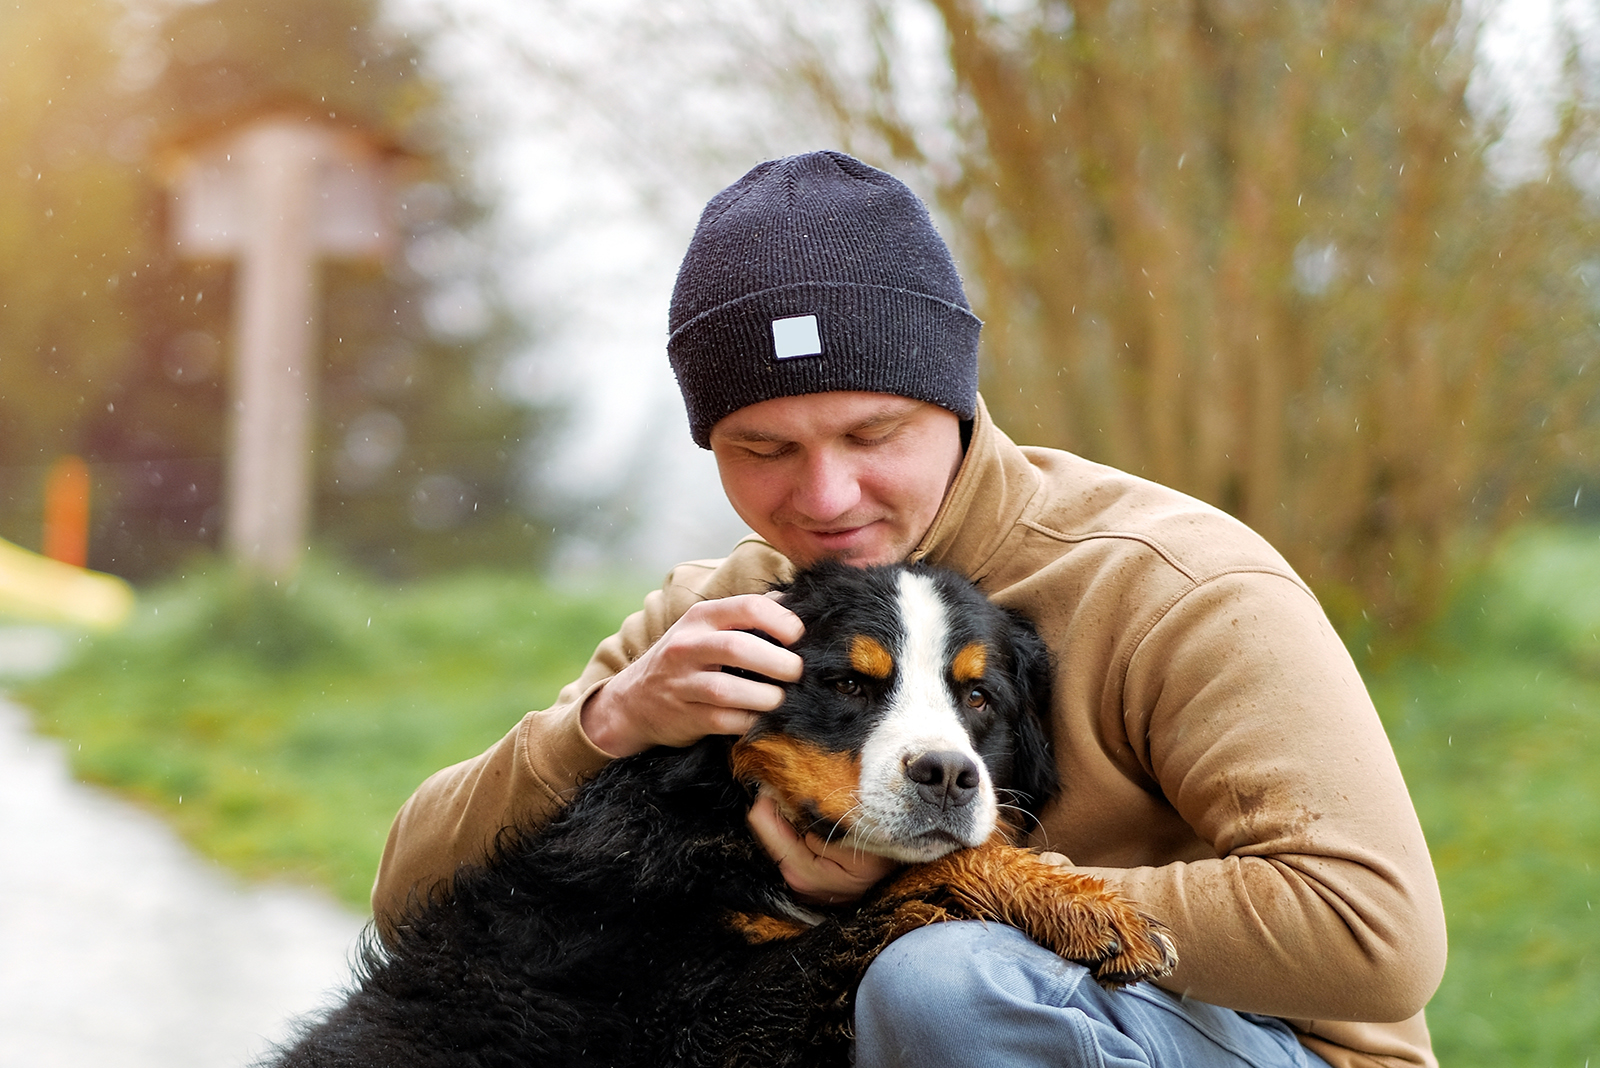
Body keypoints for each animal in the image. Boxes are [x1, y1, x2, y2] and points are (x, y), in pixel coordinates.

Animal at [272, 562, 1177, 1061]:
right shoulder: (699, 1026)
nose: (949, 775)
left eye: (979, 697)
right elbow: (902, 893)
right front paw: (1082, 905)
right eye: (849, 684)